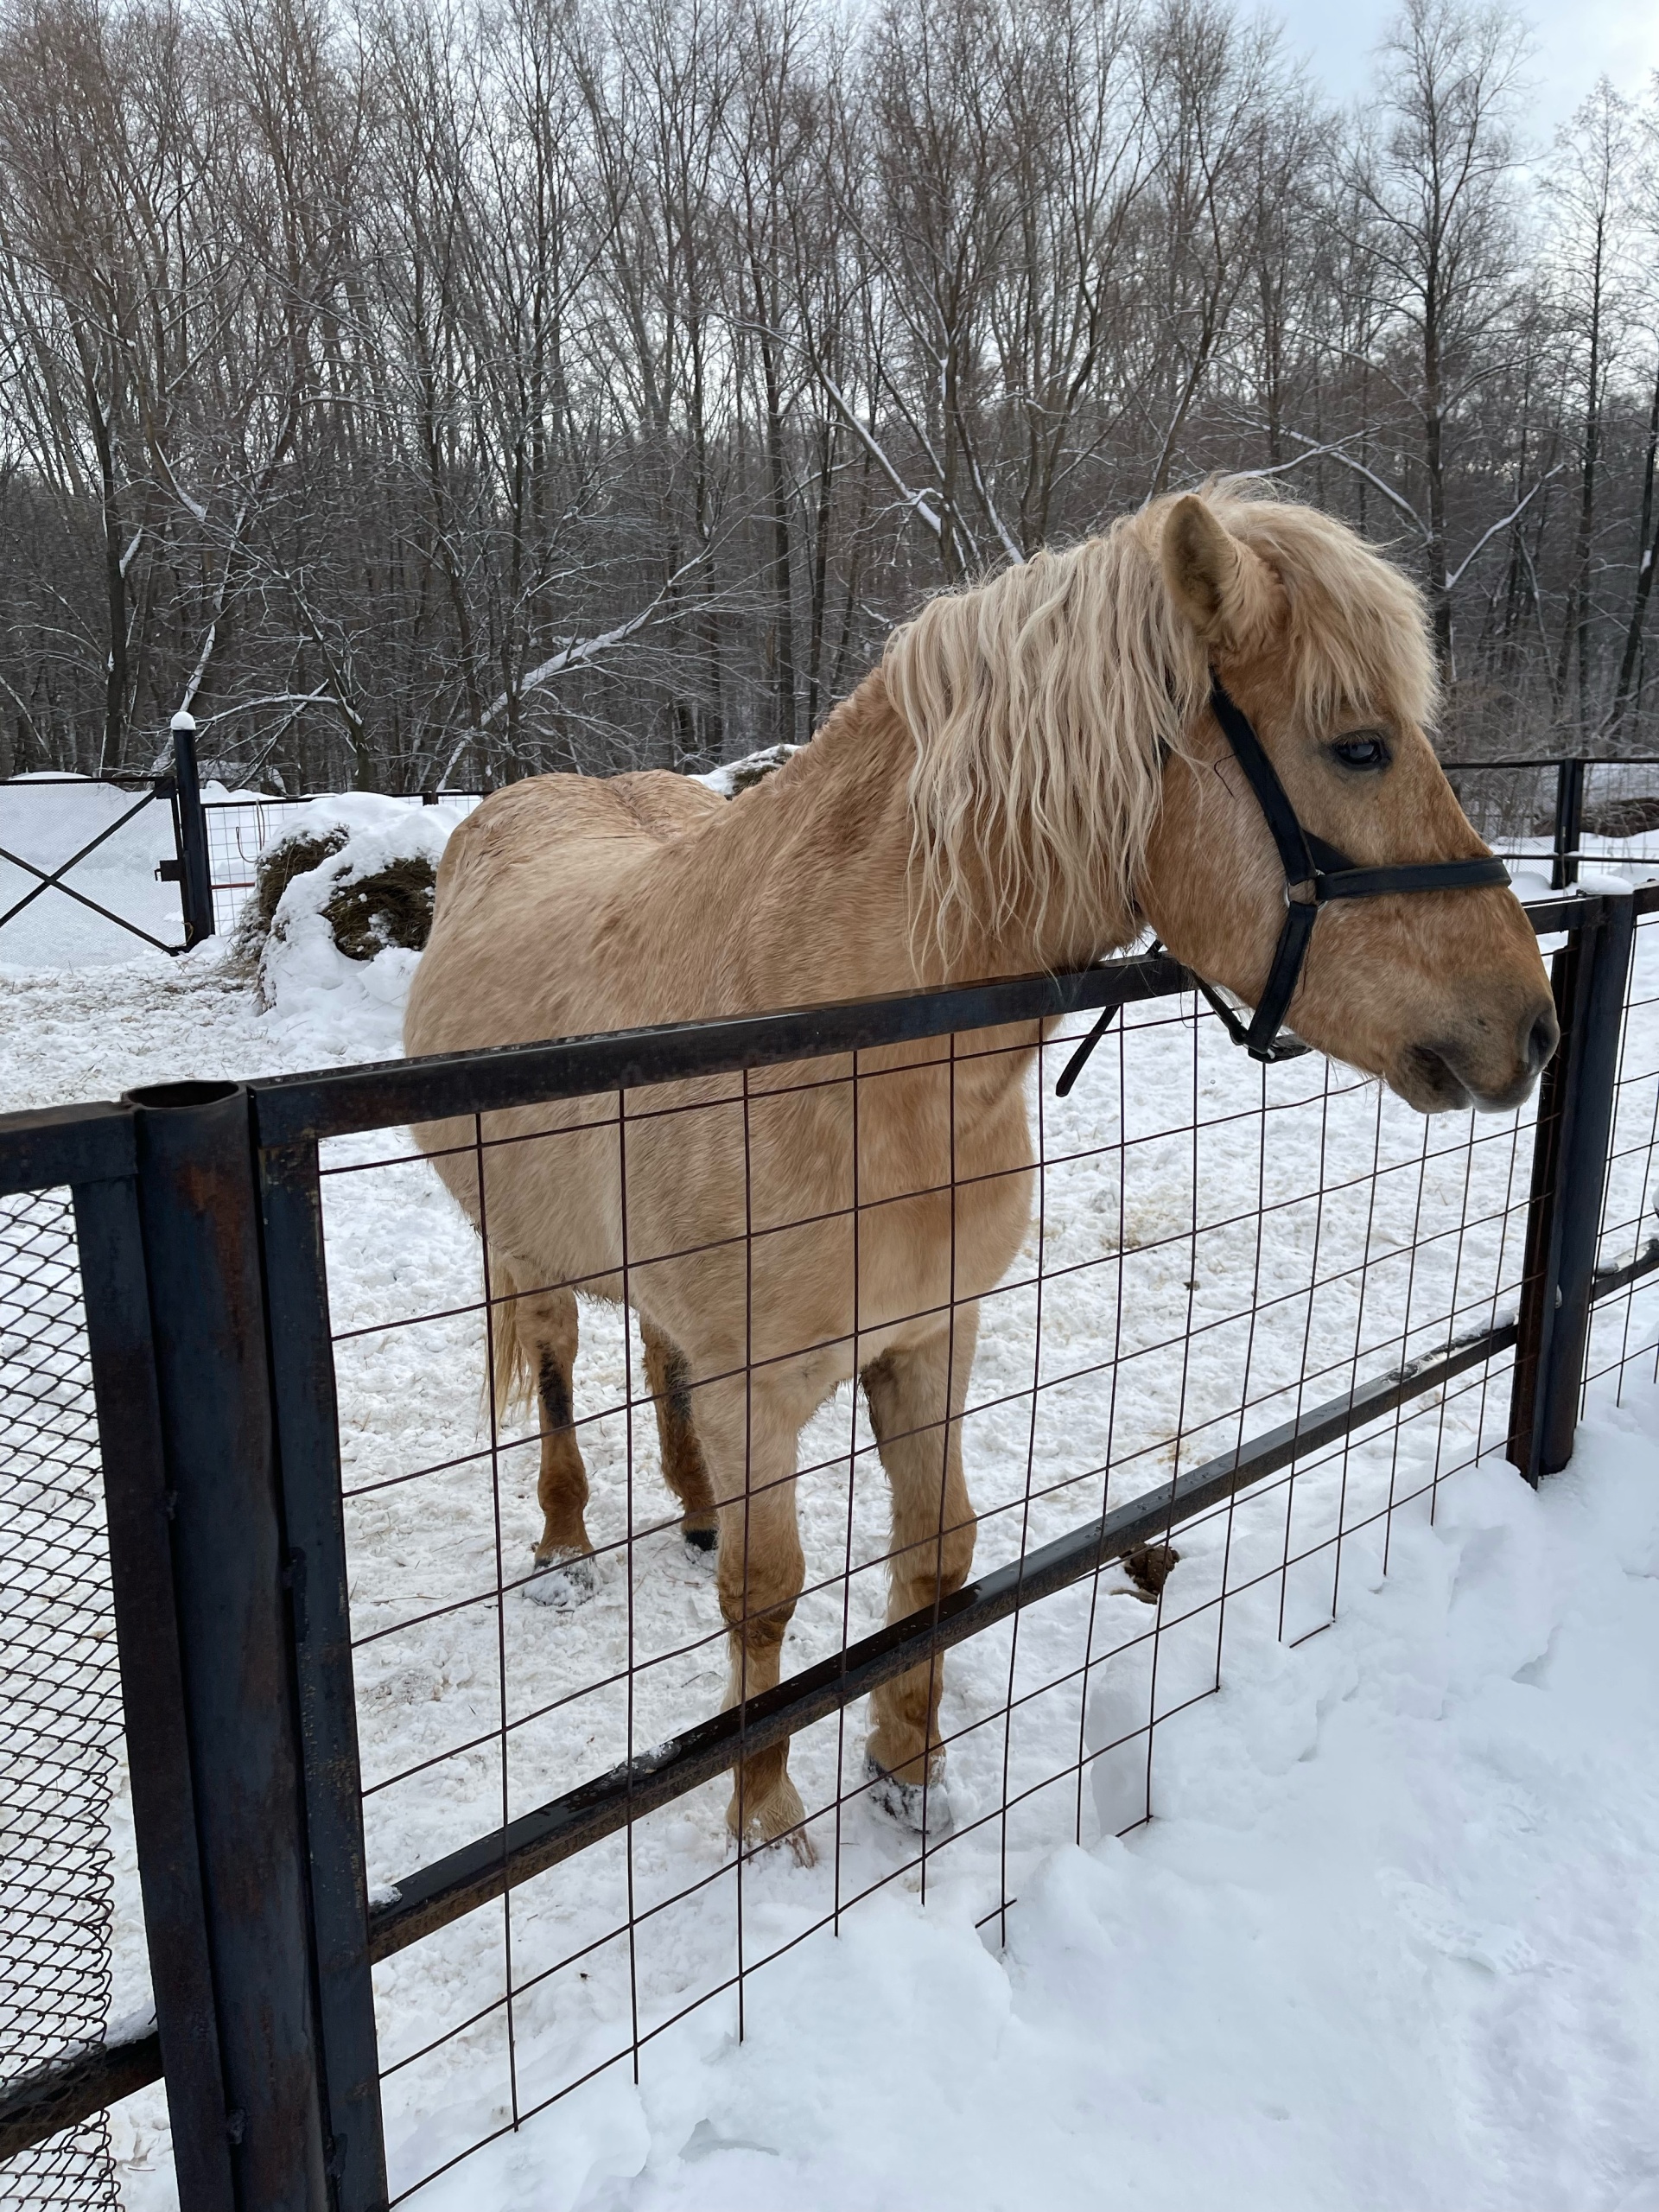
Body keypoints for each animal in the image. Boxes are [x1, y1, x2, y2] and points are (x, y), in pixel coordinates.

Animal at [402, 488, 1557, 1866]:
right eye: (1360, 747)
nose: (1534, 1028)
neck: (846, 1053)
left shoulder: (929, 1340)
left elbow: (937, 1554)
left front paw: (906, 1768)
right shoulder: (761, 1392)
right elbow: (767, 1595)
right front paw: (765, 1812)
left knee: (656, 1360)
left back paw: (688, 1507)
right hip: (522, 1254)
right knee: (561, 1367)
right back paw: (568, 1540)